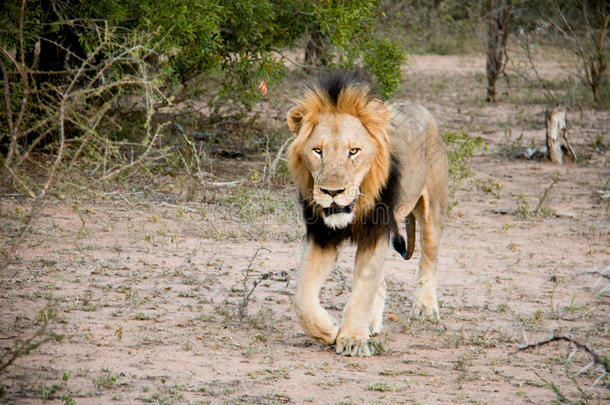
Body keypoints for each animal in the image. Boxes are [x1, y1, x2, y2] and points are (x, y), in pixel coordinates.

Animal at [284, 71, 446, 356]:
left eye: (353, 151)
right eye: (318, 151)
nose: (332, 192)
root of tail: (420, 107)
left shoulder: (376, 232)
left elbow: (362, 291)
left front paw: (352, 340)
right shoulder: (321, 235)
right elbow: (302, 297)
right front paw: (328, 330)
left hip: (431, 211)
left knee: (429, 259)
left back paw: (426, 309)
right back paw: (370, 323)